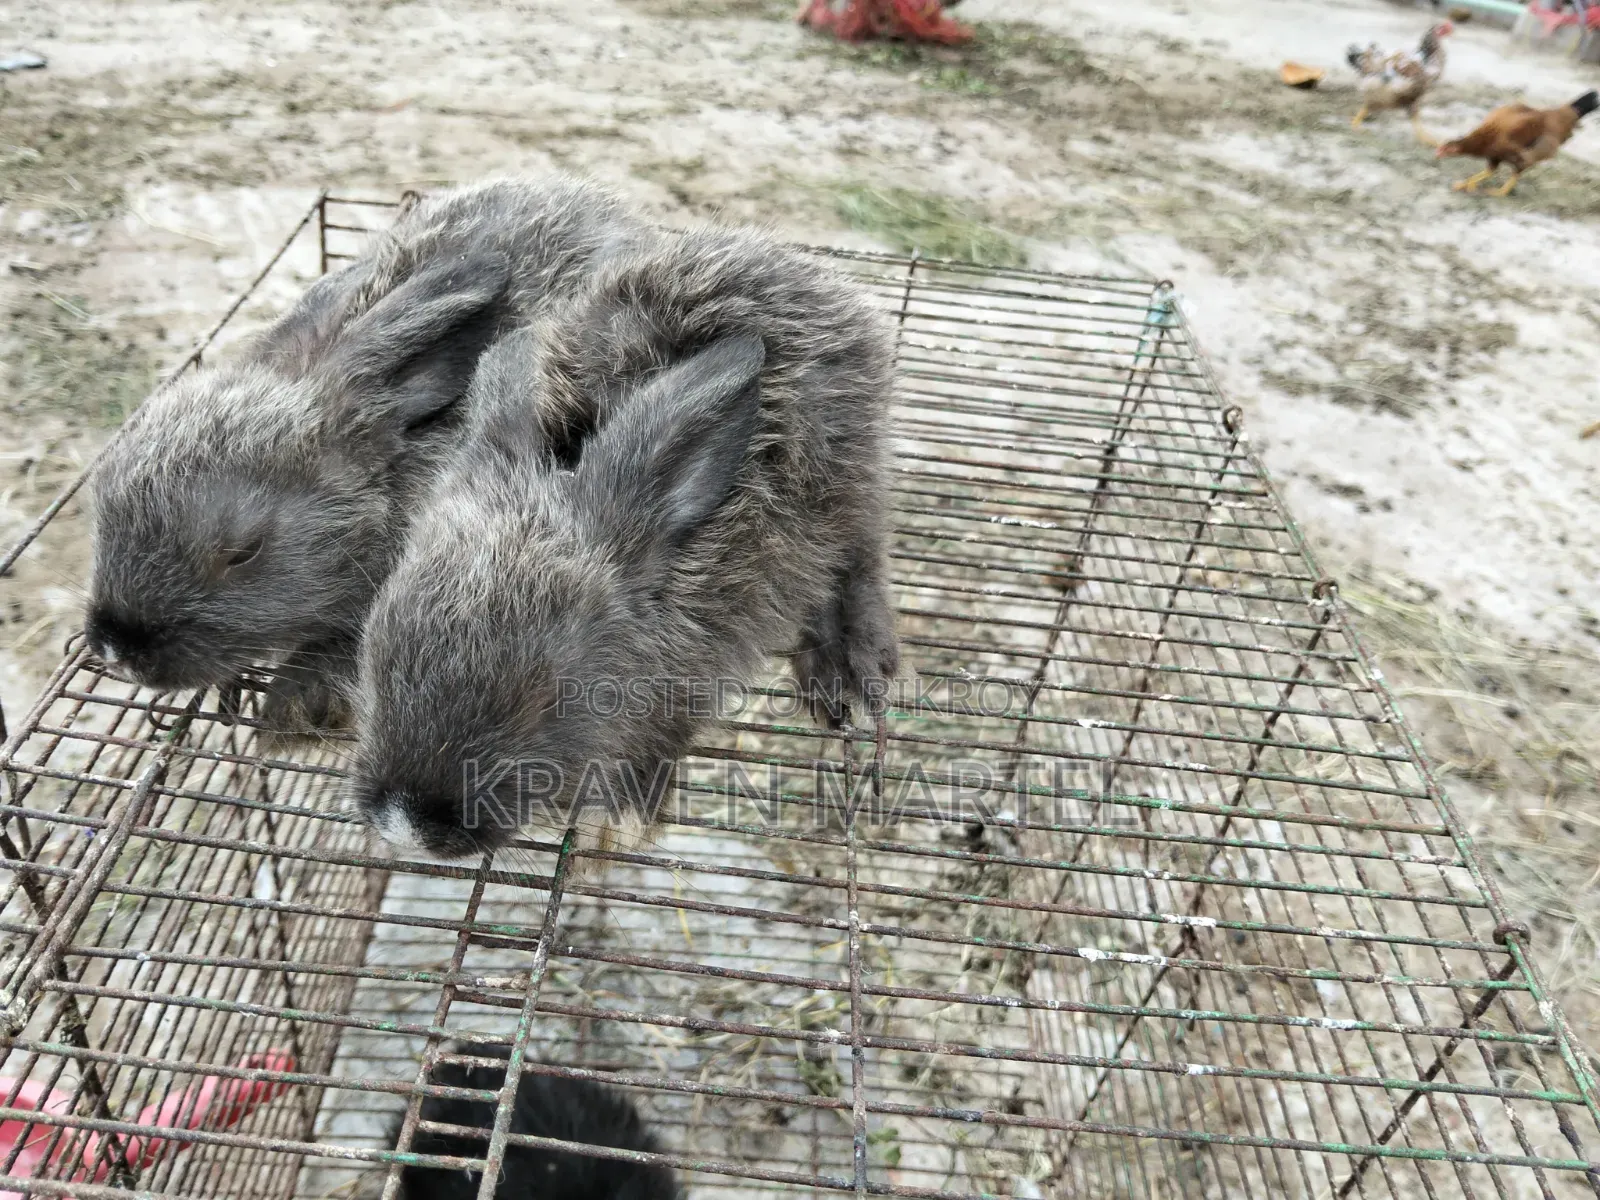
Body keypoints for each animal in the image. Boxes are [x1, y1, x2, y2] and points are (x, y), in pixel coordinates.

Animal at [347, 225, 900, 859]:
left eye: (552, 695)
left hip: (848, 491)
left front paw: (622, 817)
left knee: (858, 560)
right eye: (374, 646)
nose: (407, 827)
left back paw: (848, 674)